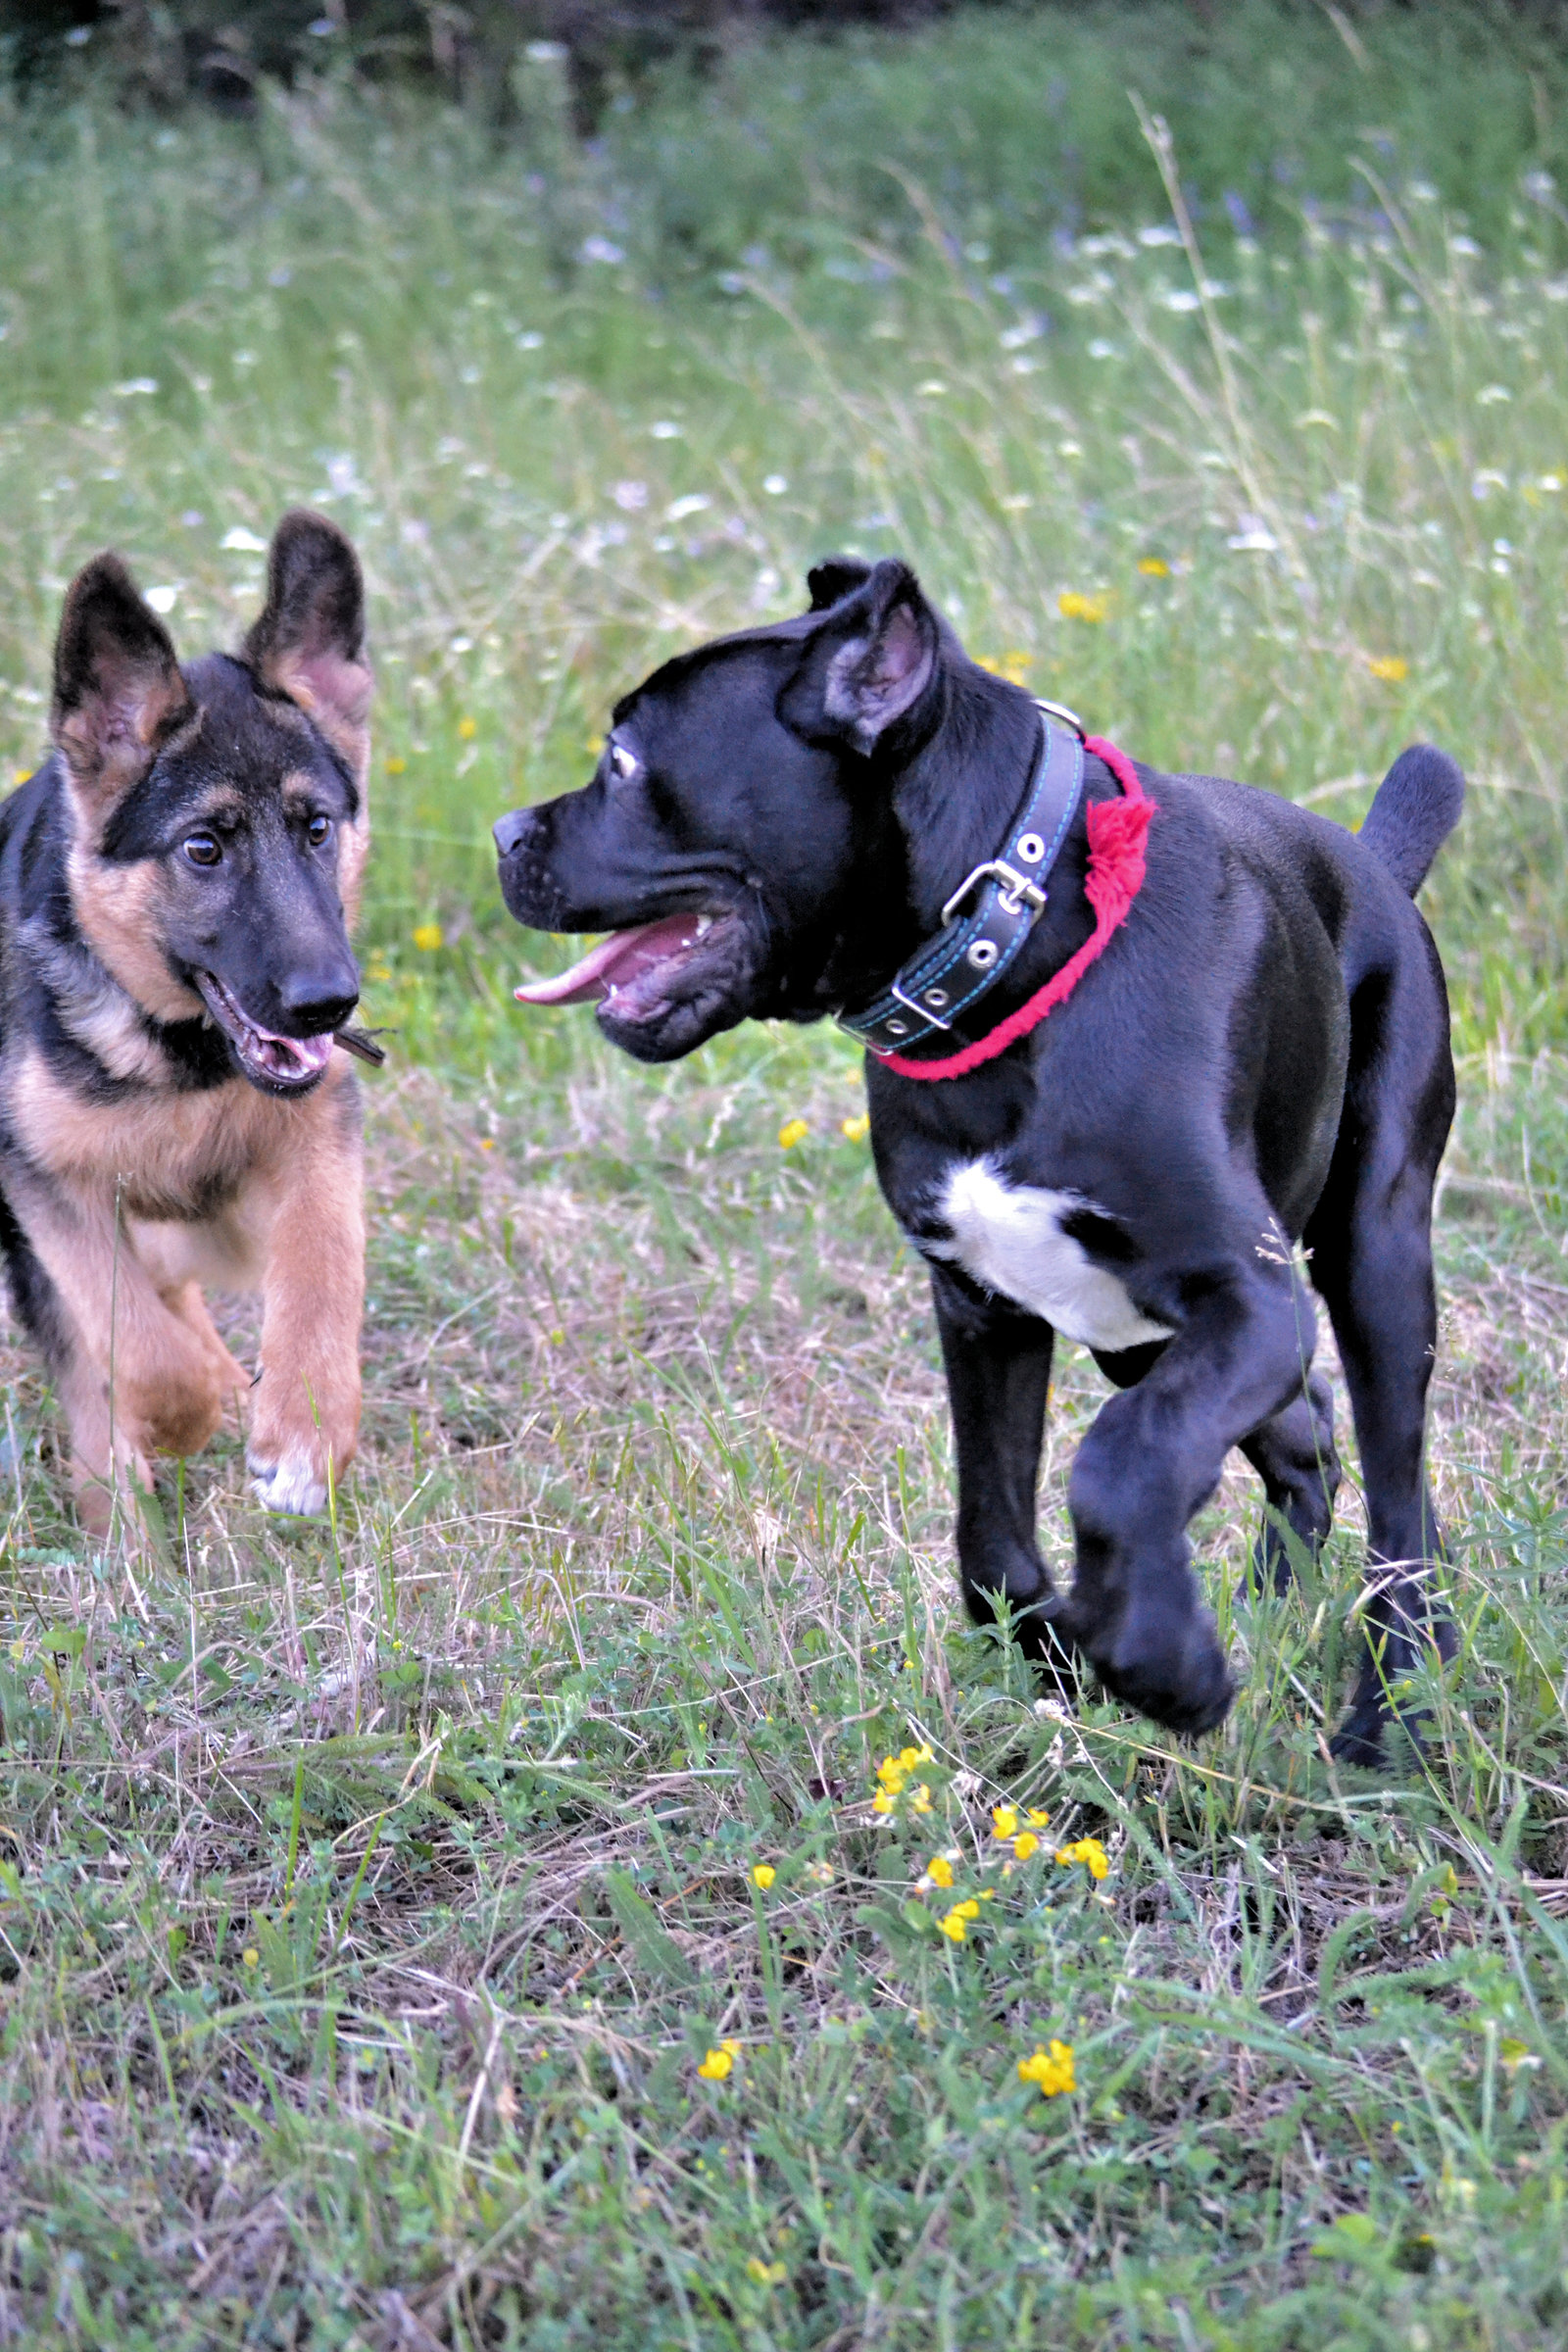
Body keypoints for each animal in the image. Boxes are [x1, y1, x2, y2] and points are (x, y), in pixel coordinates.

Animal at [0, 513, 373, 1533]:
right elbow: (134, 1339)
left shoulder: (316, 1134)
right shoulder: (46, 1190)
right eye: (204, 848)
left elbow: (323, 1265)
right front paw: (189, 1413)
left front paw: (305, 1425)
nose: (329, 1003)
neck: (178, 1056)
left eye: (317, 828)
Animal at [496, 560, 1466, 1759]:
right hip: (1135, 1334)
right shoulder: (984, 1306)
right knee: (1309, 1435)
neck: (1010, 946)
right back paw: (1268, 1606)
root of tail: (1371, 864)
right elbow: (990, 1540)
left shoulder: (1243, 1295)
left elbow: (1117, 1466)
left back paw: (1393, 1705)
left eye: (626, 762)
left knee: (1396, 1495)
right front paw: (1078, 1651)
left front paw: (1166, 1666)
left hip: (1370, 1257)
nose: (505, 834)